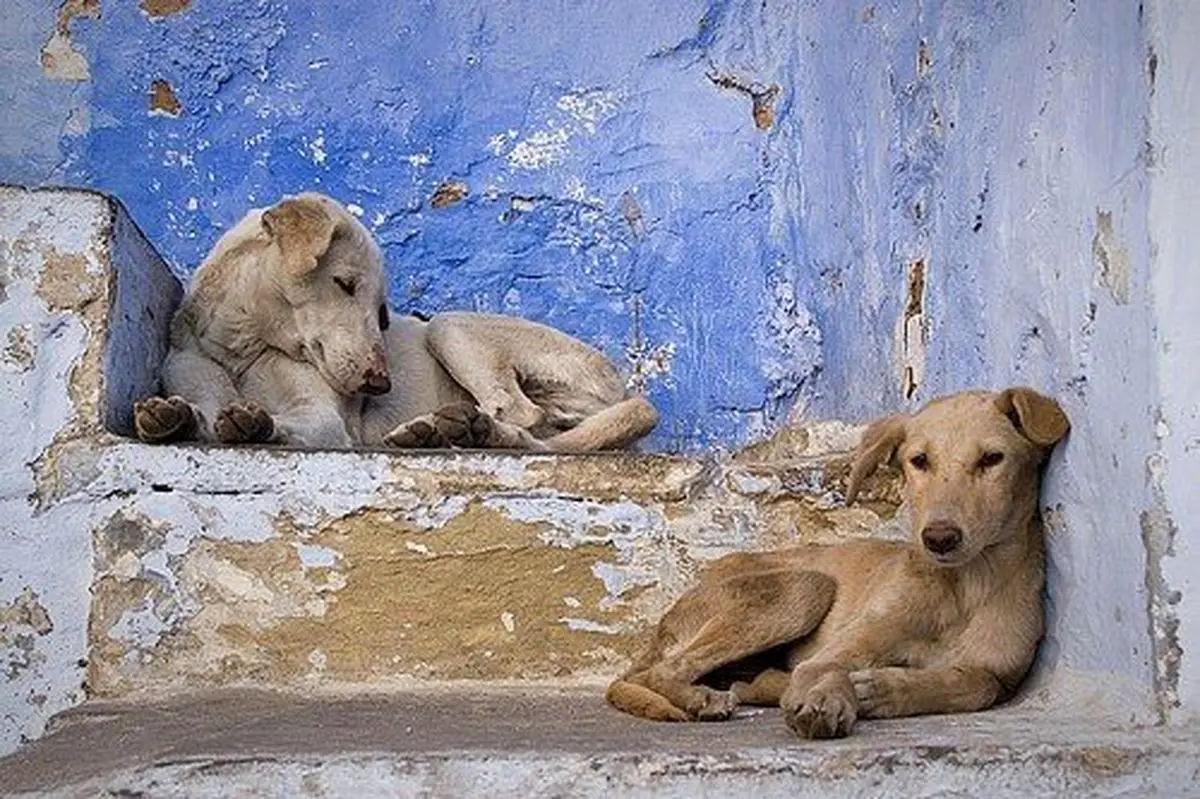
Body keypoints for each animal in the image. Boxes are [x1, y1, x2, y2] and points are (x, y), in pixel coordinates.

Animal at [133, 191, 657, 451]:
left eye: (384, 313)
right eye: (345, 284)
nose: (378, 385)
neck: (242, 346)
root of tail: (625, 390)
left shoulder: (326, 420)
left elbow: (288, 423)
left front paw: (258, 424)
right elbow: (201, 413)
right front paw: (178, 418)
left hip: (448, 325)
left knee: (519, 418)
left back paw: (467, 430)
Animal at [609, 386, 1070, 734]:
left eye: (992, 459)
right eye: (919, 461)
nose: (939, 538)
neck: (963, 584)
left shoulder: (998, 674)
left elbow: (974, 683)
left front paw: (886, 688)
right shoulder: (842, 647)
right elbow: (826, 668)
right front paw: (826, 699)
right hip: (806, 587)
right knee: (661, 672)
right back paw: (703, 697)